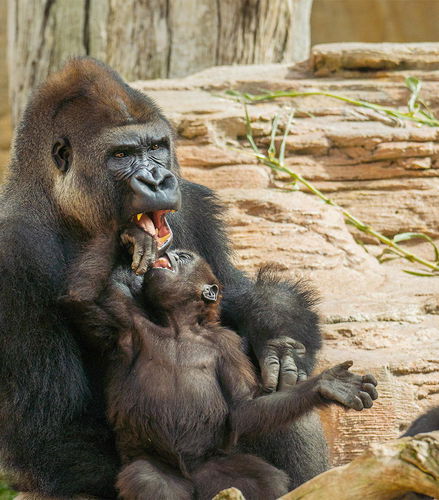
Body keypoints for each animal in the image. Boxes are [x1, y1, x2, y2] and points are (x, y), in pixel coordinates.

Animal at [0, 57, 324, 496]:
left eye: (156, 148)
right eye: (121, 154)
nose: (156, 180)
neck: (58, 203)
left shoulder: (195, 205)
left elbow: (234, 295)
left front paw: (278, 330)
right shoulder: (14, 256)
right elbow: (52, 420)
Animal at [63, 231, 380, 500]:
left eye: (185, 258)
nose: (171, 254)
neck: (178, 326)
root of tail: (192, 479)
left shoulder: (228, 346)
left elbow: (242, 408)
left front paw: (325, 386)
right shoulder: (126, 321)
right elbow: (82, 296)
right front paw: (129, 234)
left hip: (216, 466)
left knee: (262, 480)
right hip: (163, 468)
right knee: (150, 481)